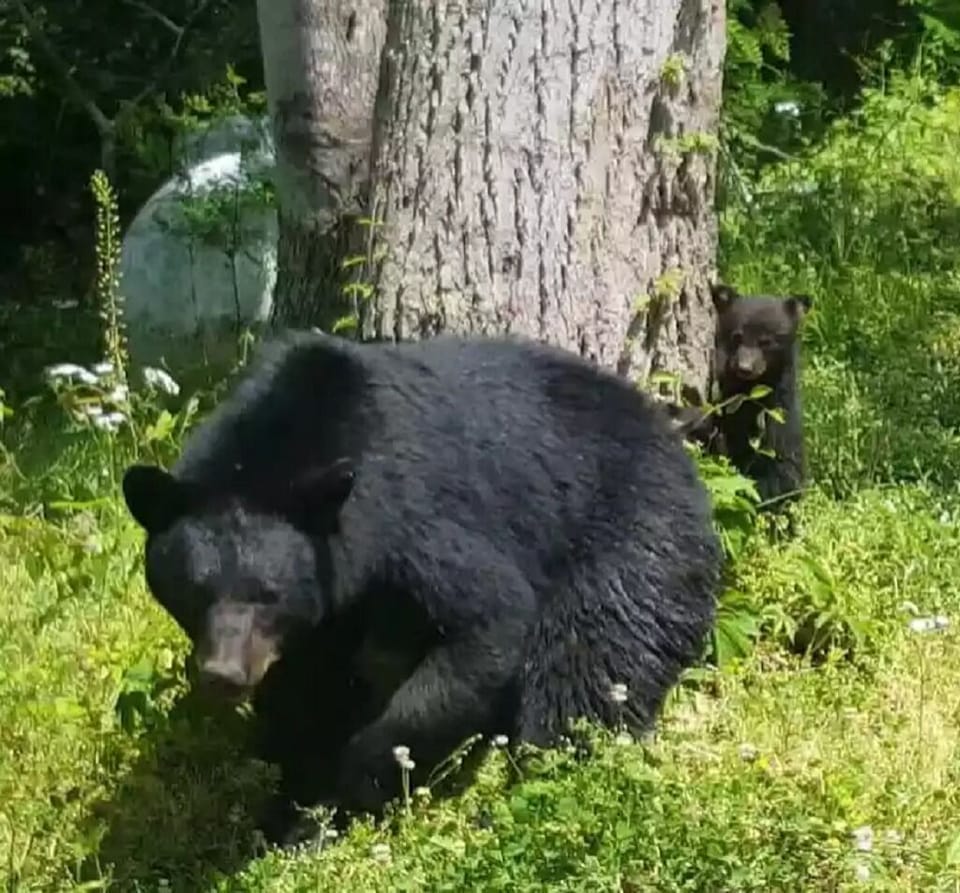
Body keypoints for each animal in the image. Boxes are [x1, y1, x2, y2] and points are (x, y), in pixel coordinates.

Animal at [121, 330, 722, 849]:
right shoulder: (323, 620)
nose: (224, 675)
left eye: (268, 595)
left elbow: (483, 626)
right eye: (194, 592)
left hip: (630, 532)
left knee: (589, 666)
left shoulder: (416, 519)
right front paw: (292, 815)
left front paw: (359, 782)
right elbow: (306, 700)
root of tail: (672, 437)